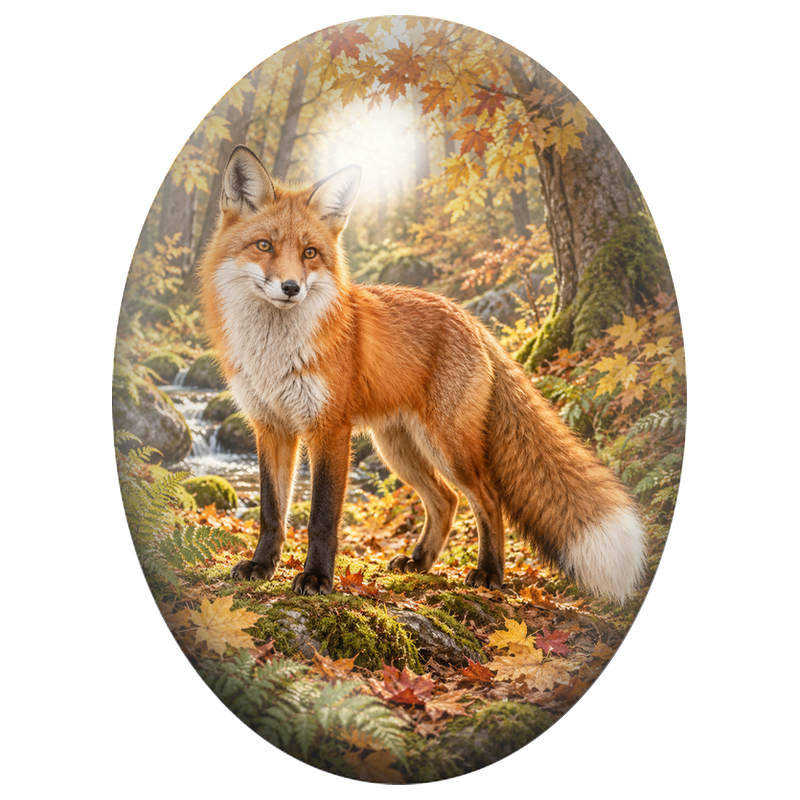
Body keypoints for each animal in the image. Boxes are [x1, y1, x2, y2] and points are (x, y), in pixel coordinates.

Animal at [198, 145, 647, 601]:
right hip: (399, 448)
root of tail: (470, 318)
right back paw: (421, 561)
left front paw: (318, 578)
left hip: (447, 445)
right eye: (264, 245)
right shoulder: (271, 426)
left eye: (310, 253)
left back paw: (489, 572)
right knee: (446, 501)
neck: (274, 354)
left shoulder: (330, 428)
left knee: (488, 498)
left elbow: (321, 518)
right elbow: (272, 512)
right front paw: (261, 565)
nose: (291, 288)